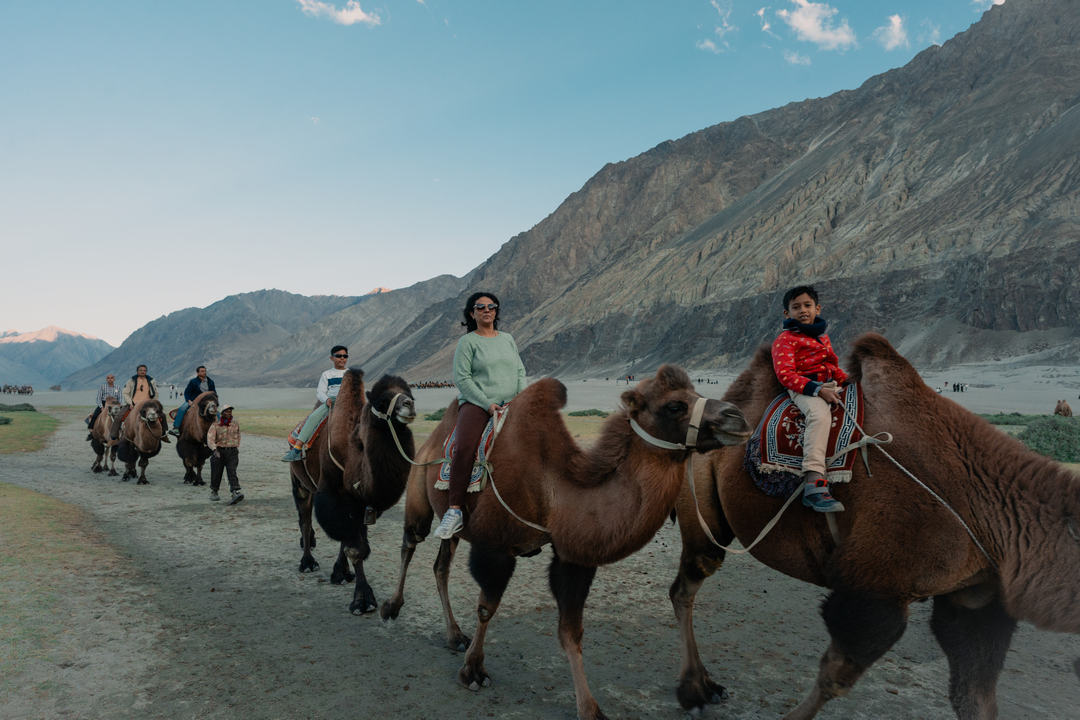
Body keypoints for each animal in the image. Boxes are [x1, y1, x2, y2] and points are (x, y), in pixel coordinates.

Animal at [287, 371, 416, 613]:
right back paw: (307, 563)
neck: (352, 456)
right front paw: (363, 601)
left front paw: (341, 573)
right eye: (381, 401)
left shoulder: (361, 503)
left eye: (410, 394)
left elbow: (352, 542)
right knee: (305, 520)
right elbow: (355, 548)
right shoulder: (334, 494)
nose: (409, 405)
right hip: (299, 482)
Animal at [382, 367, 751, 720]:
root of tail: (435, 438)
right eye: (674, 406)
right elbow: (487, 608)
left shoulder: (573, 556)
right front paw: (472, 671)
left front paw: (589, 708)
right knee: (410, 542)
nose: (737, 418)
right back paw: (391, 607)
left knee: (440, 567)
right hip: (420, 491)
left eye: (696, 392)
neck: (553, 492)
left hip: (456, 532)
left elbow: (571, 632)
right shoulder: (495, 548)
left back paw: (454, 635)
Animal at [665, 334, 1080, 720]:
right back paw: (694, 690)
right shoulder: (876, 584)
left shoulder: (975, 598)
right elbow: (835, 677)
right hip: (701, 503)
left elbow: (975, 698)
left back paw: (705, 686)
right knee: (687, 584)